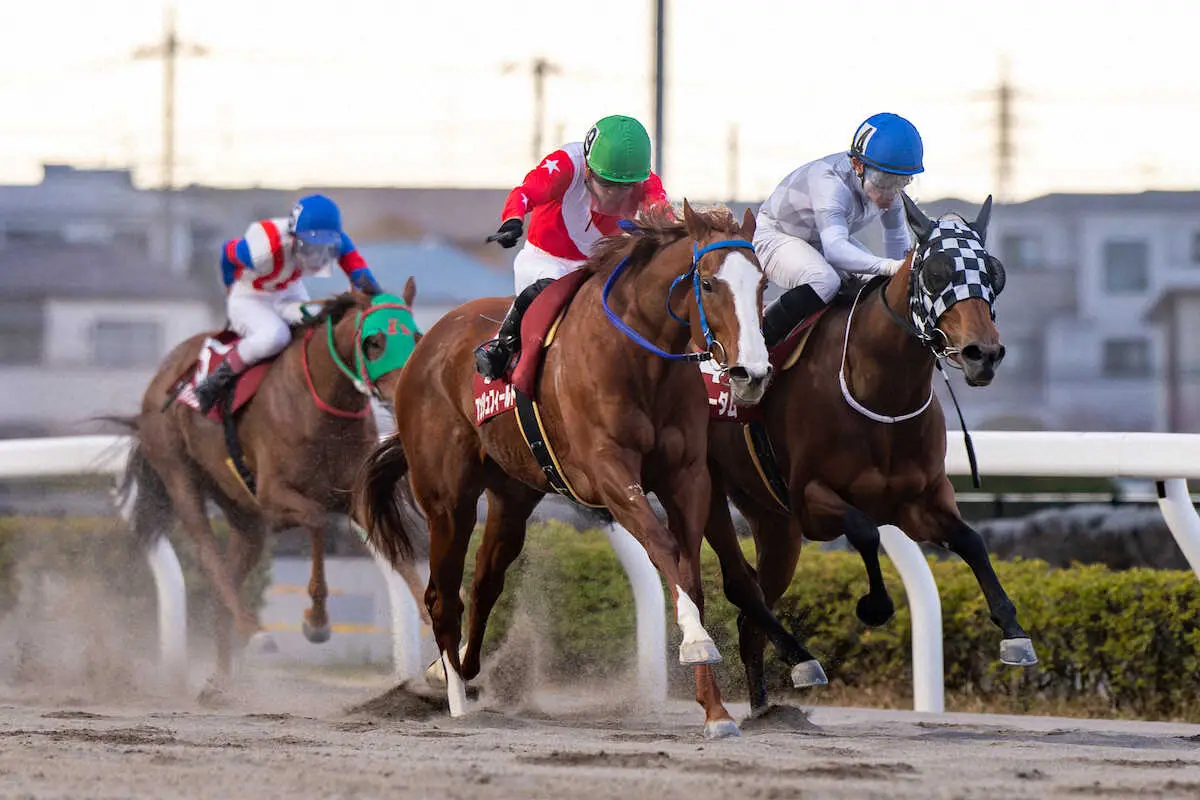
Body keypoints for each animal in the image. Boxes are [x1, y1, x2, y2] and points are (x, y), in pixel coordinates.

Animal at [114, 282, 422, 687]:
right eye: (375, 341)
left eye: (416, 337)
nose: (404, 392)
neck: (322, 404)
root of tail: (162, 374)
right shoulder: (274, 499)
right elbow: (317, 520)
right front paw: (317, 623)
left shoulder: (356, 496)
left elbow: (402, 559)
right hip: (180, 475)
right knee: (209, 557)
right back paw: (254, 632)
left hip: (243, 516)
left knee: (228, 575)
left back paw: (222, 682)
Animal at [356, 202, 826, 738]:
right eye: (707, 283)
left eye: (763, 283)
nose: (752, 373)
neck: (641, 359)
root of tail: (427, 343)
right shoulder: (609, 475)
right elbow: (665, 551)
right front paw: (697, 644)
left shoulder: (688, 477)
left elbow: (690, 571)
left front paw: (715, 709)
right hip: (447, 499)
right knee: (441, 596)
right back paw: (456, 700)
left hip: (512, 494)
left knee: (485, 581)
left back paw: (455, 670)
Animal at [704, 194, 1033, 714]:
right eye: (936, 272)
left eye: (994, 273)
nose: (983, 354)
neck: (882, 394)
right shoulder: (811, 499)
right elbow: (863, 529)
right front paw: (875, 606)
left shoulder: (919, 502)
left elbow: (972, 541)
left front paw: (1014, 632)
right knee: (733, 587)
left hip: (774, 524)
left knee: (751, 614)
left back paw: (765, 710)